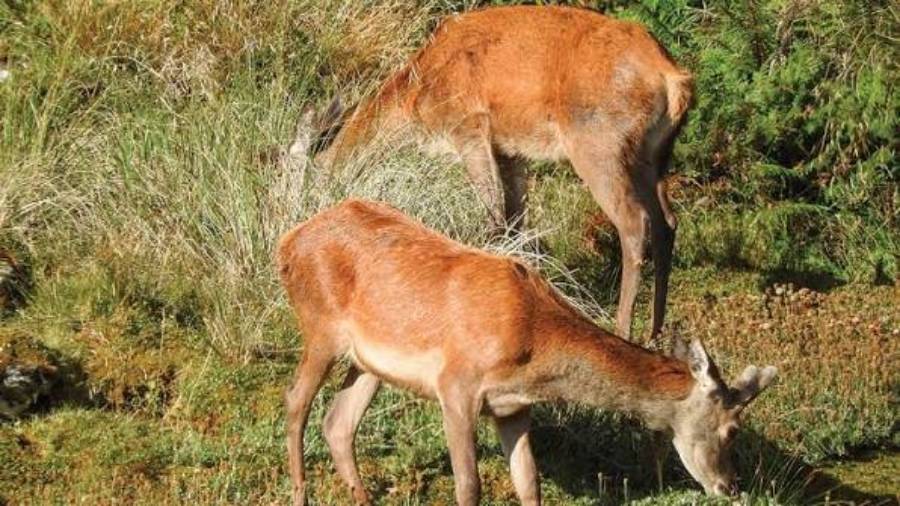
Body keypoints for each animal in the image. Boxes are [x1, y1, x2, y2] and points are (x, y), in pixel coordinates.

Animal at [278, 199, 778, 506]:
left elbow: (529, 482)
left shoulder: (512, 407)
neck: (533, 346)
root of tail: (287, 242)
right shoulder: (456, 385)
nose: (731, 486)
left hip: (368, 362)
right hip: (319, 328)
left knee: (338, 423)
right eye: (732, 429)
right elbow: (470, 486)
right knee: (296, 403)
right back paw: (300, 493)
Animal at [287, 5, 694, 341]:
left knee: (634, 223)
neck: (418, 98)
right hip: (653, 155)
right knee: (667, 221)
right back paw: (656, 330)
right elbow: (516, 221)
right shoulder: (510, 149)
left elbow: (494, 214)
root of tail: (673, 77)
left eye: (306, 181)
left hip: (598, 142)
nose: (295, 232)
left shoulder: (469, 125)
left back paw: (622, 328)